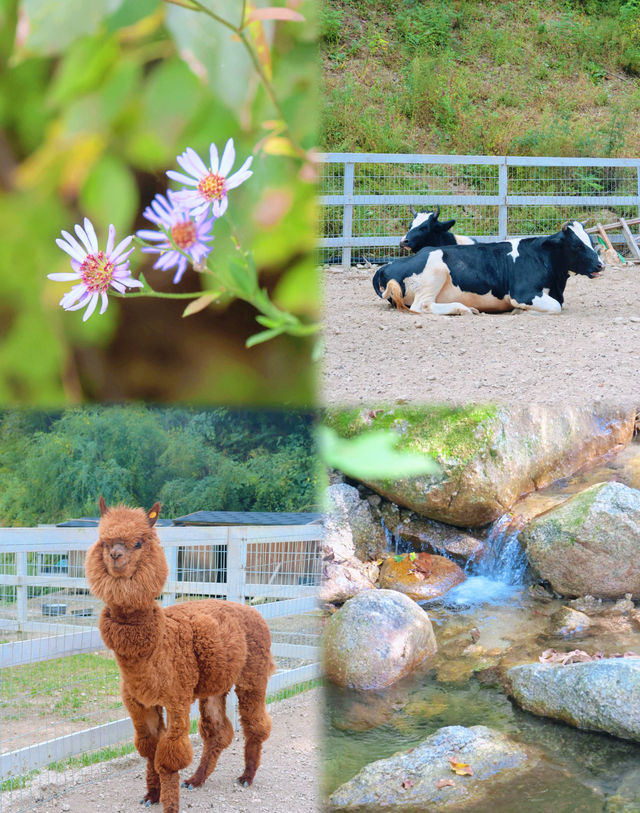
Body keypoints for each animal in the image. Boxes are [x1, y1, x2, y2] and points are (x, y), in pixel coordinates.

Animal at [372, 220, 604, 316]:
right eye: (576, 245)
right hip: (435, 272)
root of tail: (386, 267)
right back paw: (462, 309)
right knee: (422, 305)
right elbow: (555, 306)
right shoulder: (523, 293)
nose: (600, 265)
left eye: (591, 241)